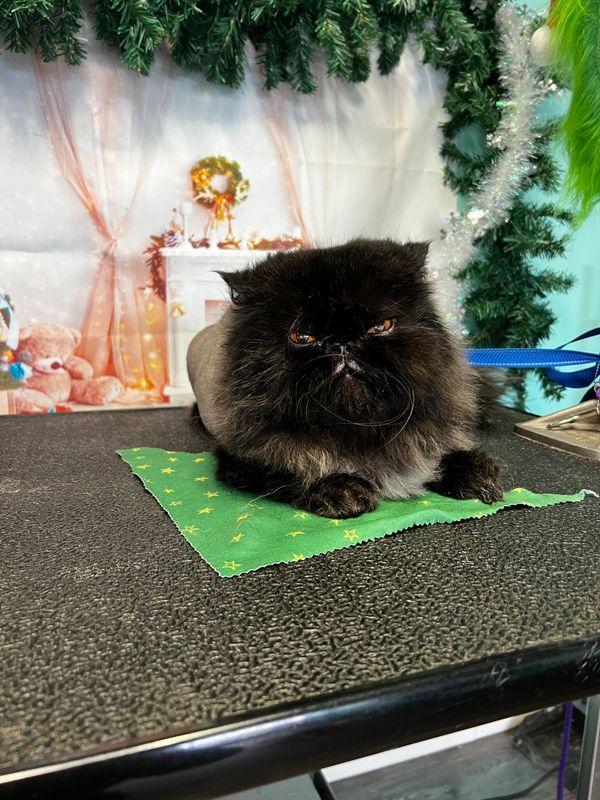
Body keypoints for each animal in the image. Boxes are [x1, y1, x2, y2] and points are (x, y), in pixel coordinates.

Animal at [188, 238, 502, 520]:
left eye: (380, 327)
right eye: (302, 337)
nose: (342, 344)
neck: (357, 427)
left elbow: (445, 452)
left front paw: (473, 472)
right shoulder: (240, 460)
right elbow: (291, 470)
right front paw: (337, 487)